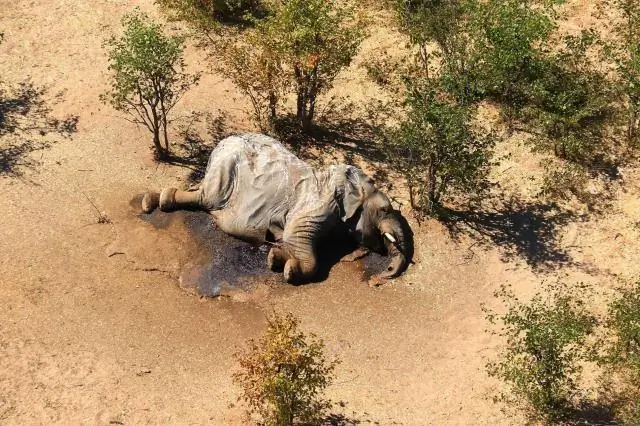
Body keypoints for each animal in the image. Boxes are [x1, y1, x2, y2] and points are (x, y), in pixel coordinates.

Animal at [141, 133, 412, 284]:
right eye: (385, 210)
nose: (383, 275)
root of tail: (222, 141)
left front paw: (277, 257)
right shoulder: (317, 205)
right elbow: (297, 238)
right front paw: (285, 267)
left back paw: (155, 200)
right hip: (225, 167)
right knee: (207, 198)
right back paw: (152, 202)